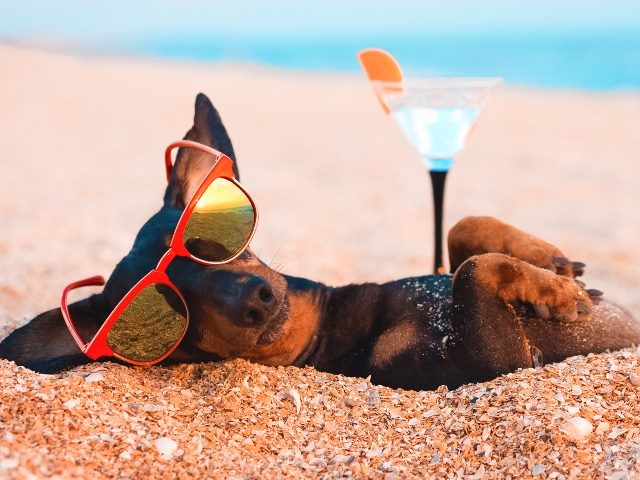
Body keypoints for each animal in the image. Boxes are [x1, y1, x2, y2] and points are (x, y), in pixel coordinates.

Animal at [2, 94, 636, 390]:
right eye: (168, 319)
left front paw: (556, 267)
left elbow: (463, 231)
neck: (333, 322)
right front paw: (557, 292)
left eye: (205, 246)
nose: (253, 299)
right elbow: (470, 270)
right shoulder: (493, 361)